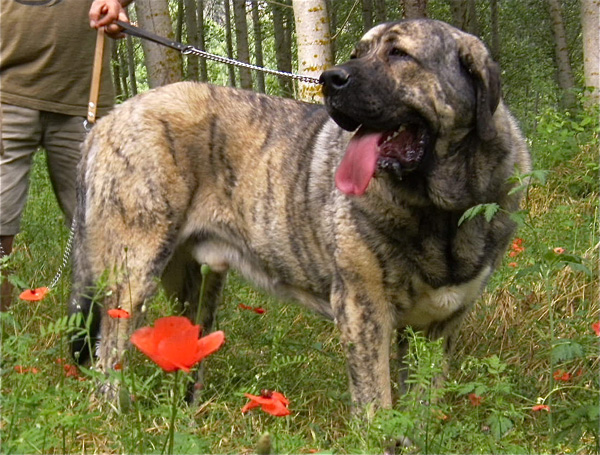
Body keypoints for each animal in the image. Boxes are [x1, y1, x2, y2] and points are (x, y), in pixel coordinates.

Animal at [70, 18, 528, 410]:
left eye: (399, 54)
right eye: (359, 53)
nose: (331, 78)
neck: (440, 211)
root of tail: (106, 121)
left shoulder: (439, 329)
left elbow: (419, 413)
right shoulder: (364, 312)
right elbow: (376, 408)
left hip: (197, 288)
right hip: (133, 276)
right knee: (108, 360)